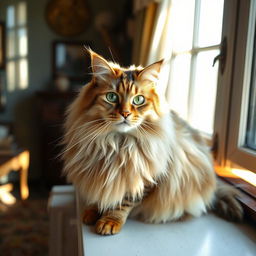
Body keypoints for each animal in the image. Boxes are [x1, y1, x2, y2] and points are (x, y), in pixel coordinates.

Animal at [61, 49, 242, 235]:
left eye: (138, 100)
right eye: (111, 97)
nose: (125, 114)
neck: (117, 144)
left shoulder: (144, 180)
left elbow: (122, 204)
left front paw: (109, 221)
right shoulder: (98, 173)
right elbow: (100, 196)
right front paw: (92, 211)